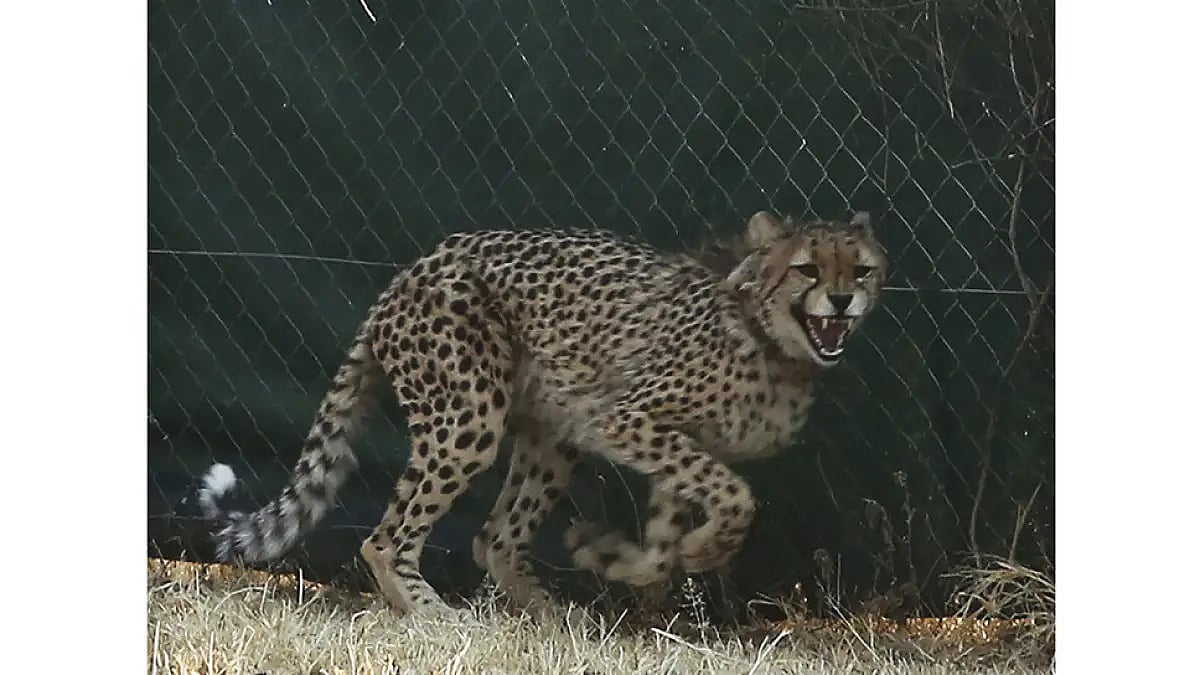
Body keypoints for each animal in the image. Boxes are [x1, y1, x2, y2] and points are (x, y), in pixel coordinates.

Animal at [196, 209, 888, 616]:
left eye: (861, 268)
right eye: (807, 269)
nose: (843, 300)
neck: (773, 344)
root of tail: (413, 269)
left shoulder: (670, 439)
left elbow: (668, 533)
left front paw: (624, 559)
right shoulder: (628, 418)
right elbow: (738, 495)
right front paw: (700, 550)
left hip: (556, 433)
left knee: (494, 538)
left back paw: (552, 617)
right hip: (470, 416)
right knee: (385, 538)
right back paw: (432, 613)